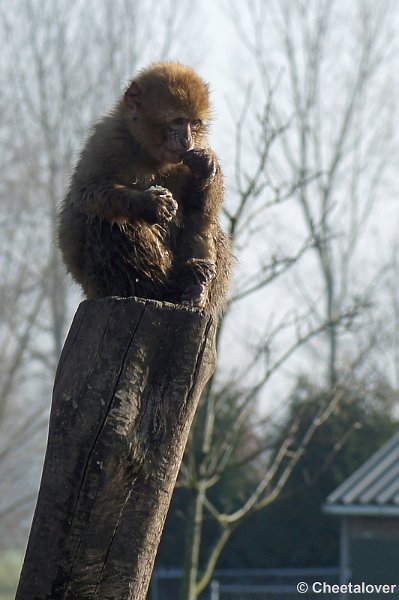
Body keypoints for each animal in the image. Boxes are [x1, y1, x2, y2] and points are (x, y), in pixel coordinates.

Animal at [57, 61, 230, 314]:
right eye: (177, 121)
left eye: (194, 123)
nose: (186, 140)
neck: (150, 153)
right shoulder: (108, 139)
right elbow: (86, 195)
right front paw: (150, 203)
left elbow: (200, 215)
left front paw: (206, 167)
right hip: (100, 285)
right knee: (106, 220)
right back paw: (148, 290)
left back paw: (192, 283)